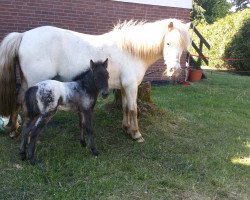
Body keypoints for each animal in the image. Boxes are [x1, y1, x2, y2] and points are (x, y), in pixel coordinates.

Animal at [0, 18, 190, 141]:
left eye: (183, 46)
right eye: (168, 43)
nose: (174, 71)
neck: (131, 51)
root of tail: (24, 35)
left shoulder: (123, 87)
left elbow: (125, 108)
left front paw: (126, 128)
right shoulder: (131, 87)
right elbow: (133, 109)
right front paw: (136, 134)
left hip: (27, 81)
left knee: (18, 101)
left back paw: (14, 130)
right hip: (35, 82)